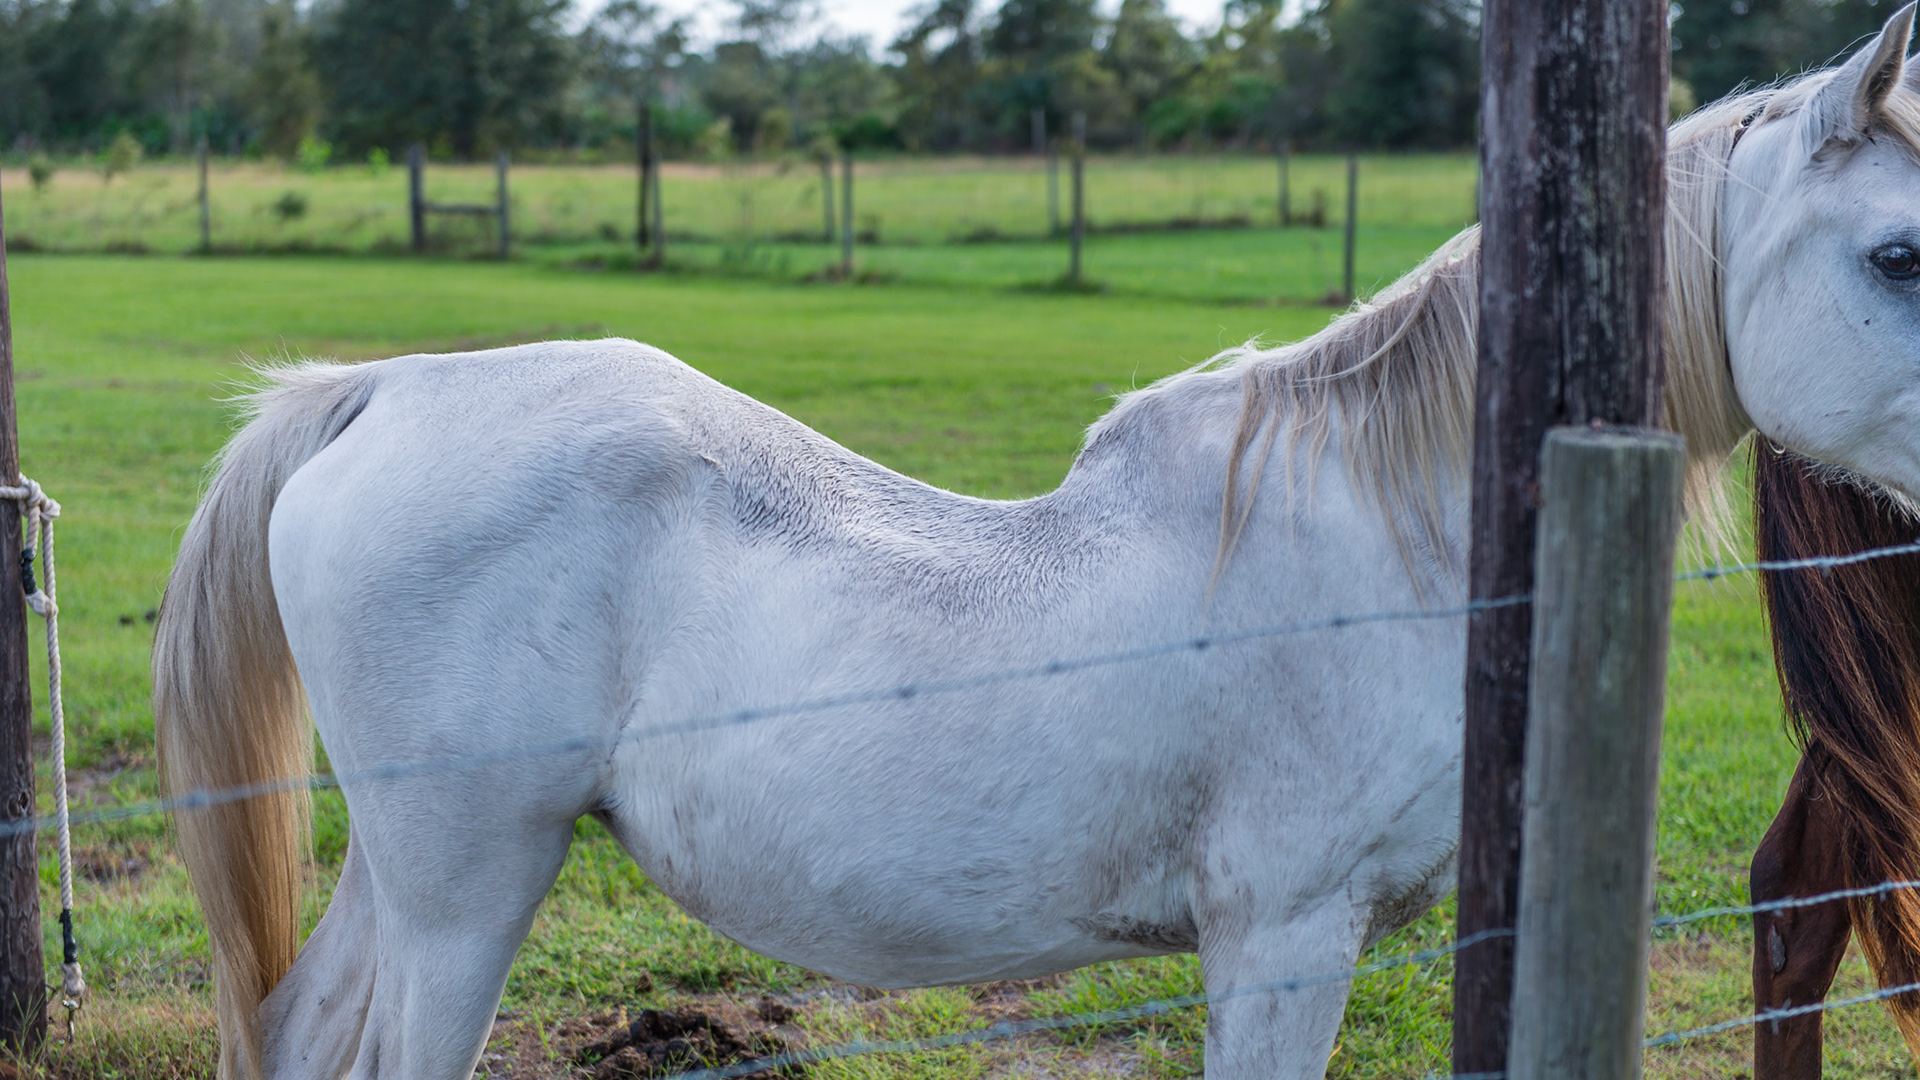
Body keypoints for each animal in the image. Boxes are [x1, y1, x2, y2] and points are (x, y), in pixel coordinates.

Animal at [153, 8, 1920, 1077]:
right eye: (1899, 252)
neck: (1393, 529)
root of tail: (380, 388)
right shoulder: (1284, 937)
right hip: (467, 886)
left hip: (410, 874)